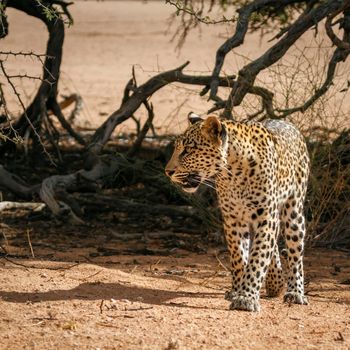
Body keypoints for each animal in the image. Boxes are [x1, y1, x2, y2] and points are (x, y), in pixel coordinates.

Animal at [165, 112, 310, 312]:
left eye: (187, 150)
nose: (168, 172)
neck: (233, 172)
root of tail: (289, 124)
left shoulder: (266, 216)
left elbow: (258, 257)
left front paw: (247, 297)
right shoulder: (233, 219)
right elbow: (239, 257)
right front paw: (239, 291)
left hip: (293, 211)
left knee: (295, 251)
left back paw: (295, 292)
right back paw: (274, 281)